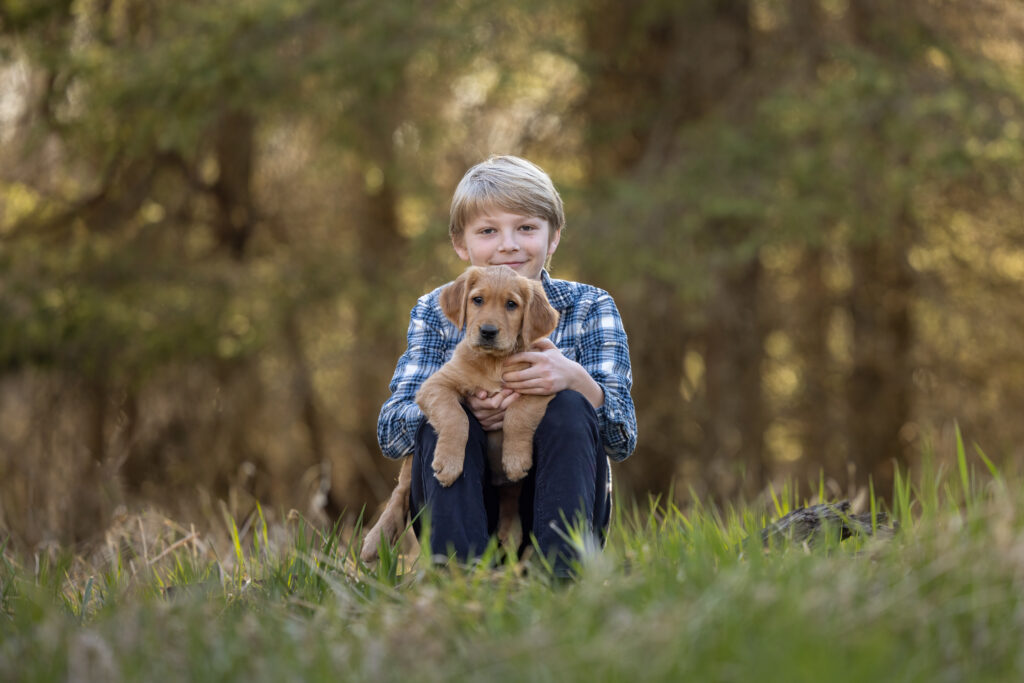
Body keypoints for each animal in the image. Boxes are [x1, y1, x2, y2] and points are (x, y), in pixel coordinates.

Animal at [362, 264, 561, 565]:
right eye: (477, 300)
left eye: (511, 305)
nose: (488, 331)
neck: (493, 362)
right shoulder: (435, 386)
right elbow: (456, 417)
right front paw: (449, 463)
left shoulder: (542, 381)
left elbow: (518, 414)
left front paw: (515, 459)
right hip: (410, 461)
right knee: (399, 492)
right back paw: (376, 540)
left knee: (509, 510)